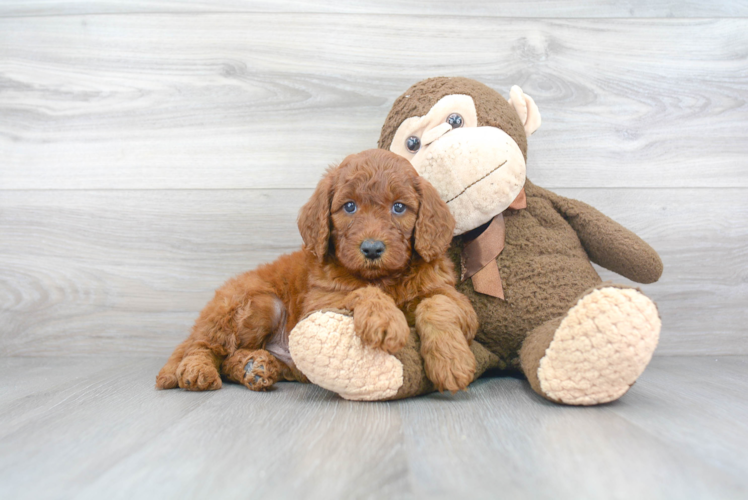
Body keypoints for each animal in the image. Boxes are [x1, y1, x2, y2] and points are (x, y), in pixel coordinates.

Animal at [156, 148, 480, 394]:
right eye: (349, 207)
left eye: (399, 207)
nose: (372, 249)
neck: (385, 278)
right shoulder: (320, 303)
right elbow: (362, 291)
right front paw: (385, 319)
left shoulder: (457, 300)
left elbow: (437, 304)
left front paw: (451, 362)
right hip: (255, 305)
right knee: (204, 346)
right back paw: (198, 371)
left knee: (228, 357)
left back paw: (255, 368)